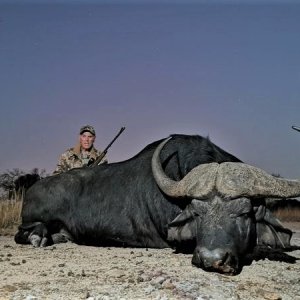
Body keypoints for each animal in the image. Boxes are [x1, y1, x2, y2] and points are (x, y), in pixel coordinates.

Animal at [14, 135, 298, 276]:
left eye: (243, 213)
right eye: (198, 213)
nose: (211, 259)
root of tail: (34, 187)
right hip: (31, 220)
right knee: (23, 233)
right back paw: (38, 237)